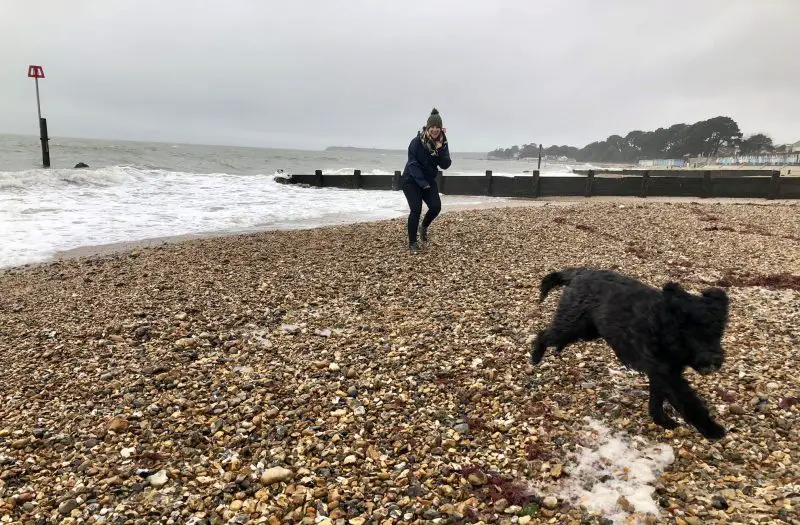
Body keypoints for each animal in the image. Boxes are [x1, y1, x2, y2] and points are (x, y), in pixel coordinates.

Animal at [532, 266, 732, 438]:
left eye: (719, 332)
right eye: (692, 331)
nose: (715, 360)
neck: (664, 326)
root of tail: (581, 272)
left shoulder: (661, 373)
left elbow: (656, 399)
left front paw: (662, 421)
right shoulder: (667, 375)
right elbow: (688, 401)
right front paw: (711, 429)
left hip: (586, 330)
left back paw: (557, 349)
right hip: (573, 321)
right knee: (544, 334)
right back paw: (536, 356)